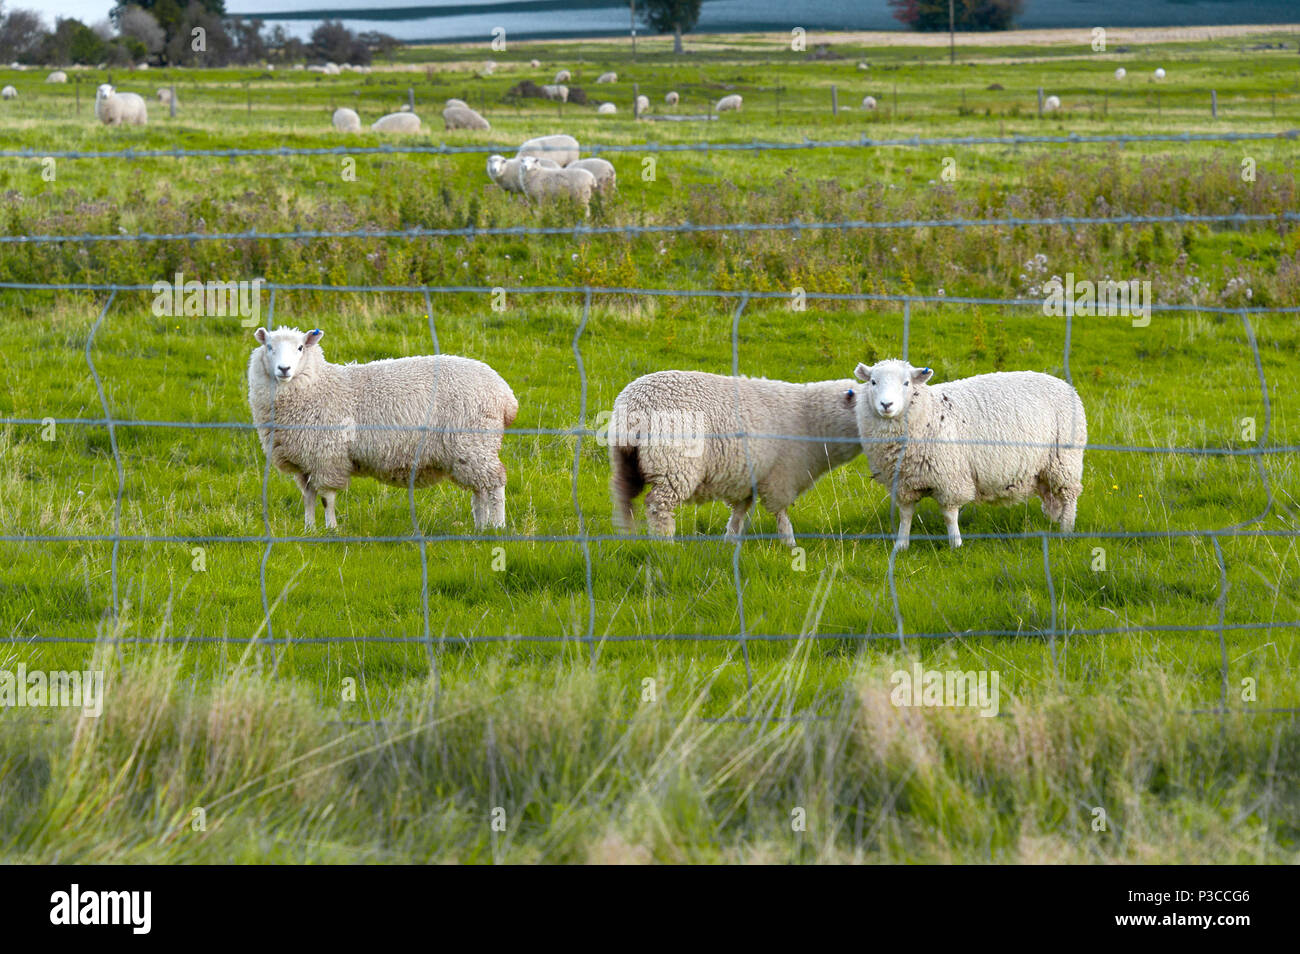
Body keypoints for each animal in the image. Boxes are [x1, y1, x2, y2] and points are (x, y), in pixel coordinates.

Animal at [248, 328, 517, 535]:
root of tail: (506, 395)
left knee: (495, 485)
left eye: (301, 348)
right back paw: (481, 526)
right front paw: (309, 529)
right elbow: (309, 498)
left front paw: (331, 529)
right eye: (269, 347)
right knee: (480, 490)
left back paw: (498, 526)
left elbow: (327, 497)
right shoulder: (306, 461)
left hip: (475, 442)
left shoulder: (327, 457)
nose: (284, 369)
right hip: (471, 450)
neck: (317, 385)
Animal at [605, 374, 863, 553]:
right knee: (658, 505)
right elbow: (781, 513)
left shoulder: (747, 478)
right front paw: (789, 543)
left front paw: (730, 541)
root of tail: (633, 407)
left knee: (623, 496)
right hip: (673, 464)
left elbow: (740, 512)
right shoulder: (780, 477)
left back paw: (626, 535)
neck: (809, 420)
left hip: (626, 460)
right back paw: (664, 543)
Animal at [852, 361, 1086, 553]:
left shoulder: (950, 479)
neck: (929, 412)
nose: (886, 405)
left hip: (1065, 459)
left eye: (906, 383)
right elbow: (906, 514)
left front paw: (955, 545)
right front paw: (901, 546)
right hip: (1044, 468)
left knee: (1069, 495)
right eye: (873, 382)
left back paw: (1066, 530)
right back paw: (1053, 523)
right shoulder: (903, 483)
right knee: (1051, 497)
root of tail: (1065, 384)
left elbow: (949, 515)